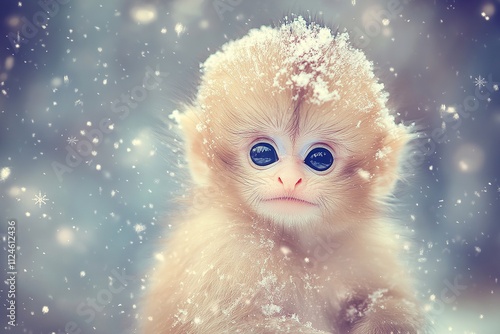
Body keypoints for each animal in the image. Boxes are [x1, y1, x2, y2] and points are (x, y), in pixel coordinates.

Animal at [143, 16, 428, 334]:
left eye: (320, 158)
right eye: (262, 153)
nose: (290, 179)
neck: (298, 249)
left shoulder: (370, 250)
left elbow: (391, 300)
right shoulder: (221, 250)